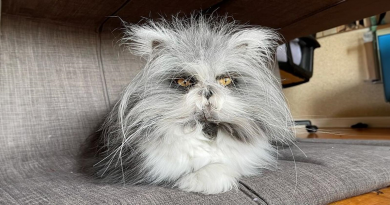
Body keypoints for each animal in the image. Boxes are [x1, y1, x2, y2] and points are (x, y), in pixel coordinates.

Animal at [83, 15, 296, 195]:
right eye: (185, 82)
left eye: (224, 81)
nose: (208, 92)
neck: (206, 128)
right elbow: (206, 169)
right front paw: (206, 183)